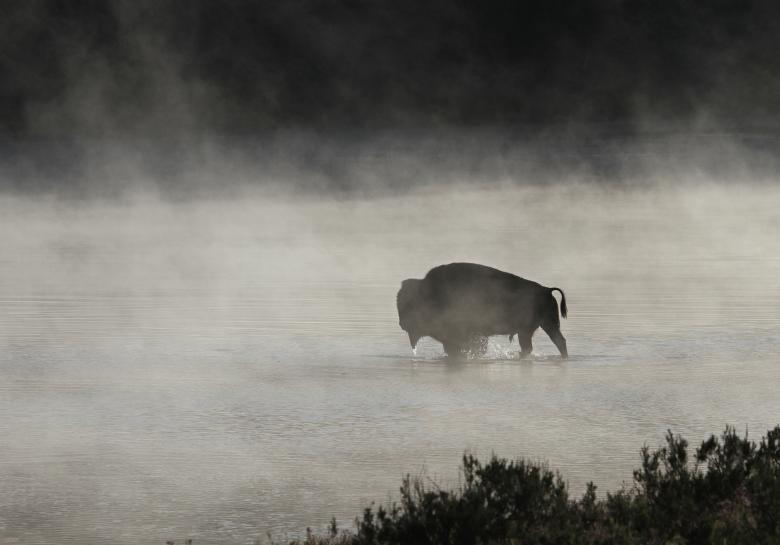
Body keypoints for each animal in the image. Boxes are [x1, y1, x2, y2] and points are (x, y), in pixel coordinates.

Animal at [397, 263, 568, 358]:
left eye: (409, 305)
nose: (402, 324)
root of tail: (546, 290)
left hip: (531, 330)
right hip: (544, 327)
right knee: (557, 342)